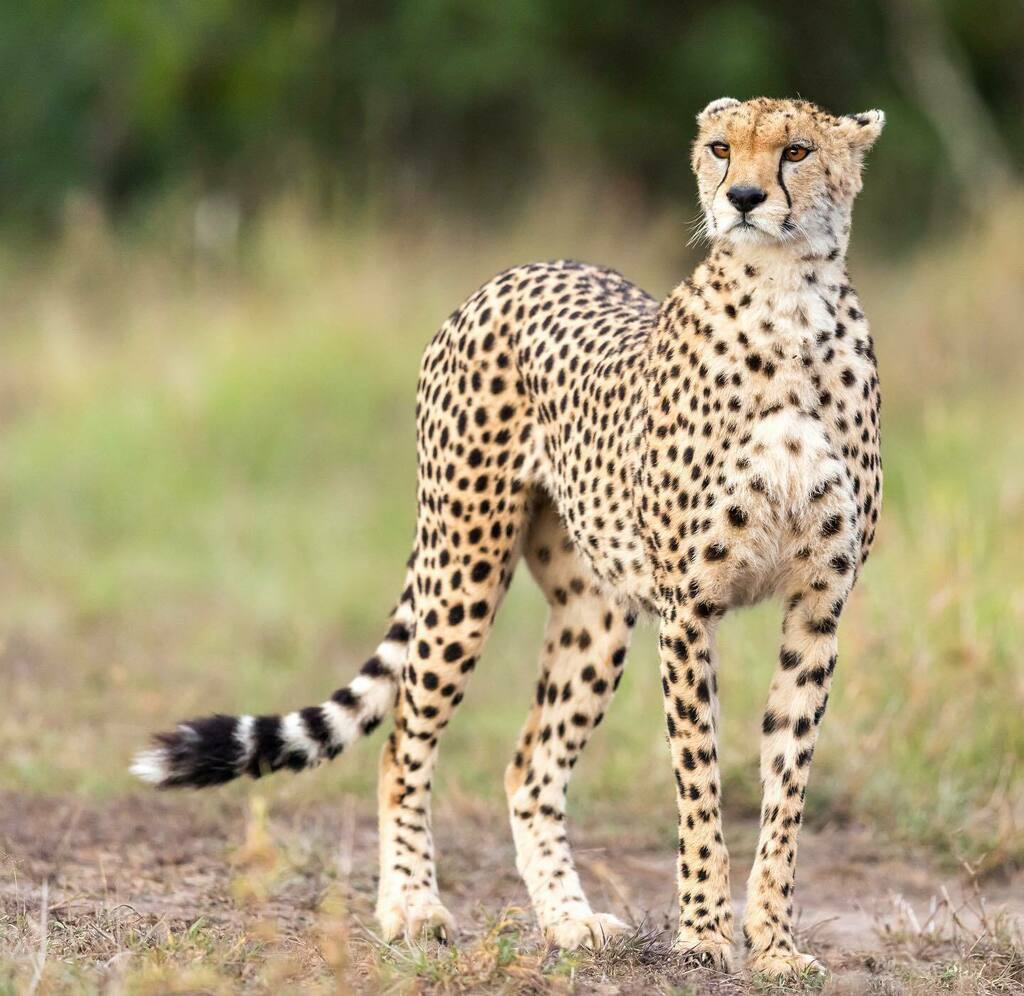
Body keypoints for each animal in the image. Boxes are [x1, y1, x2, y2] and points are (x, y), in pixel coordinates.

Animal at [133, 96, 884, 979]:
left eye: (796, 150)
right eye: (720, 148)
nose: (741, 198)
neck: (789, 304)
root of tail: (519, 270)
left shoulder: (817, 607)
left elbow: (785, 786)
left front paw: (773, 944)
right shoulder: (688, 608)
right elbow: (699, 782)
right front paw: (703, 934)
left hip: (597, 614)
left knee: (530, 768)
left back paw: (570, 921)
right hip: (463, 566)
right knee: (403, 742)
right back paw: (413, 908)